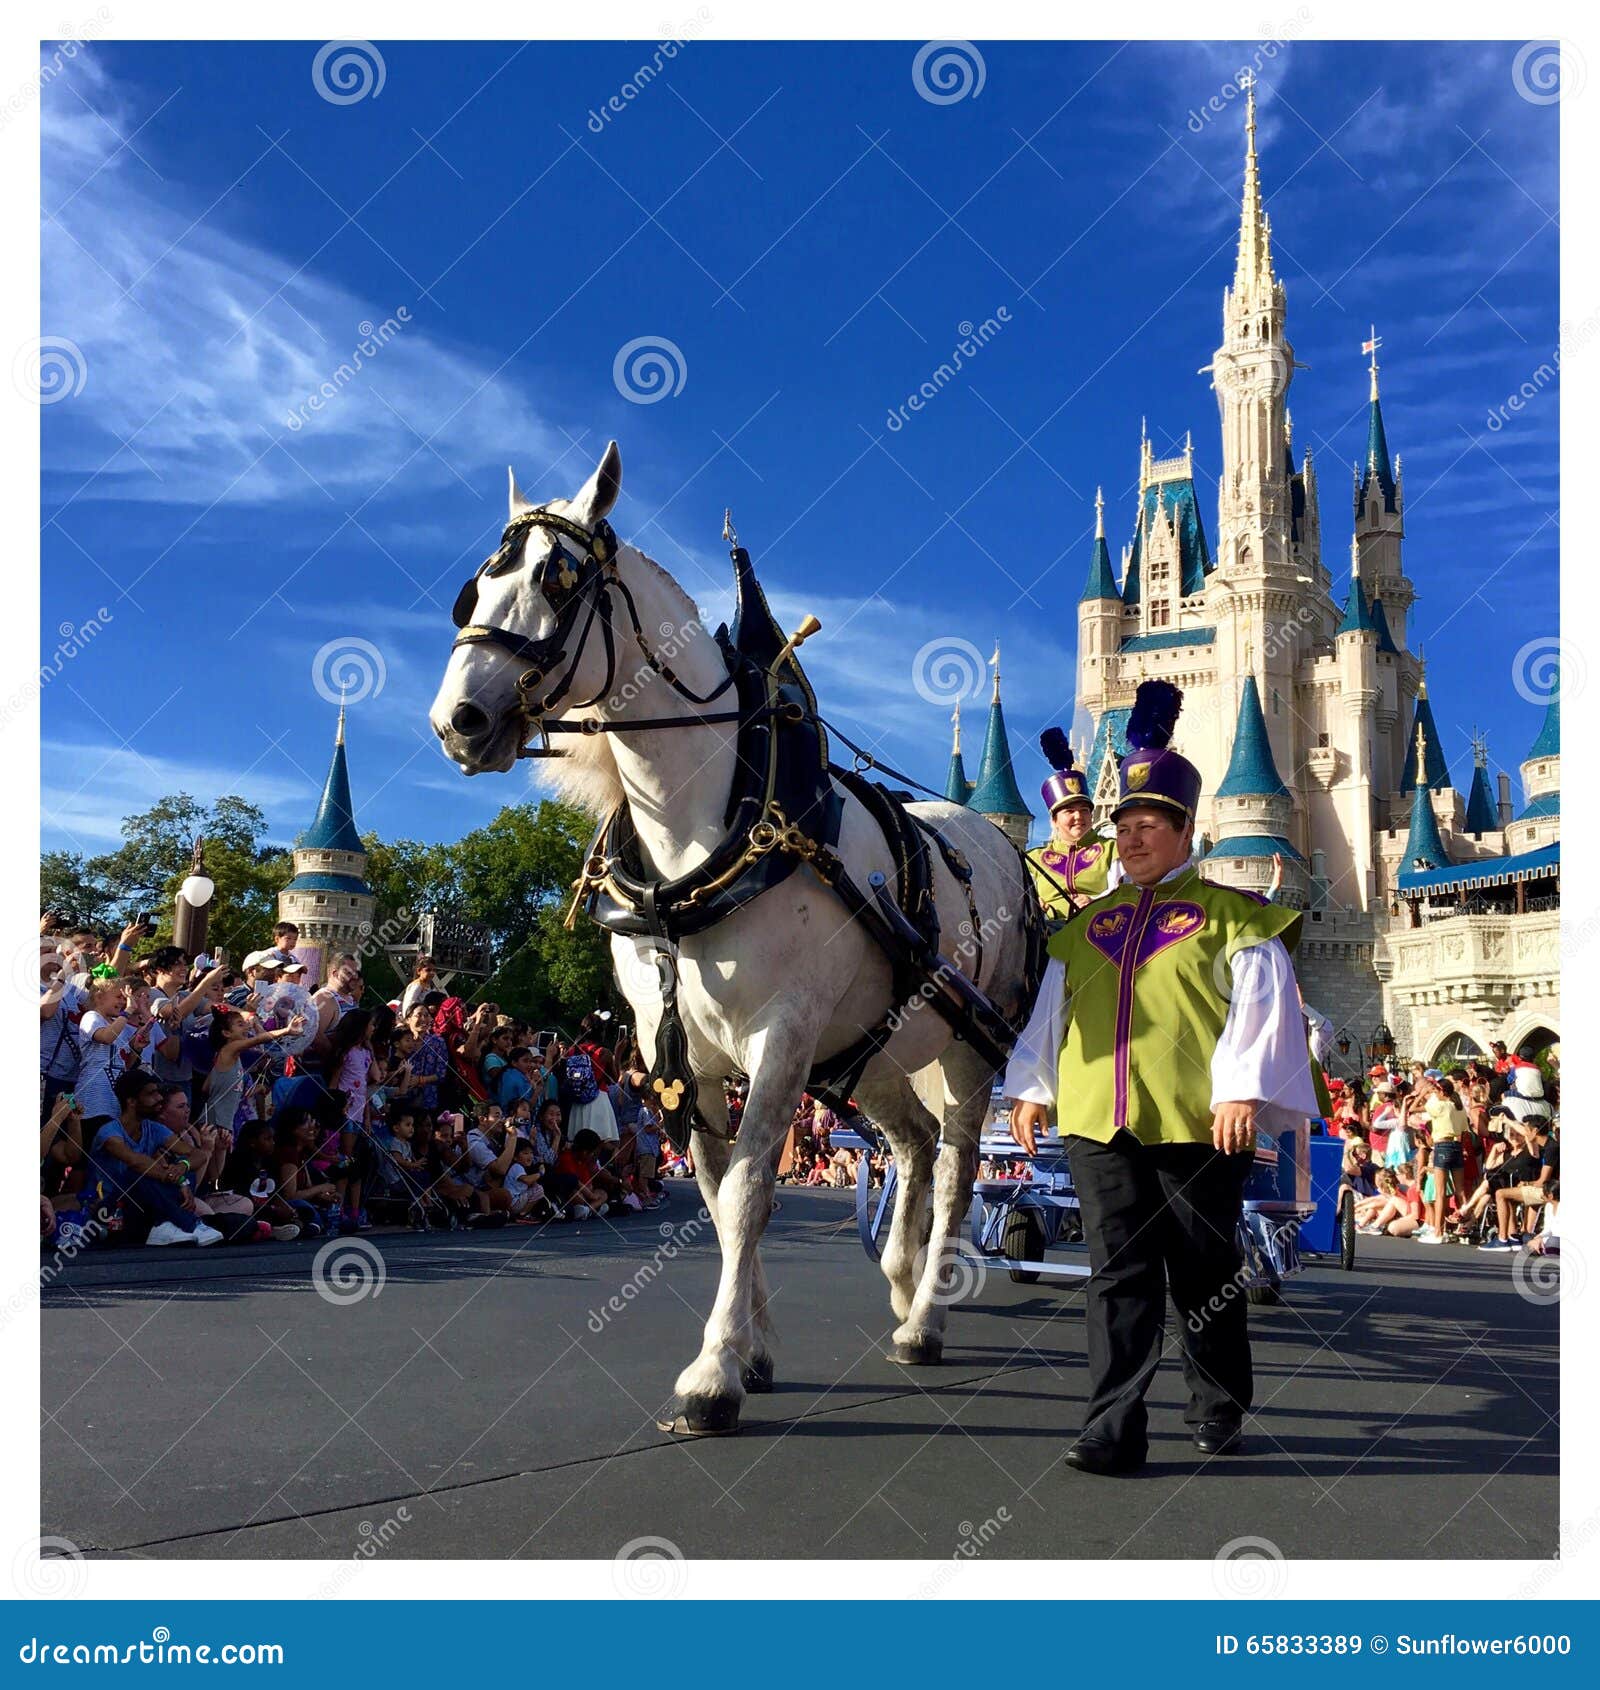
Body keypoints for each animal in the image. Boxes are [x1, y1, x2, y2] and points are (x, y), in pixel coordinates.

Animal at [425, 442, 1040, 1433]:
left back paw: (926, 1319)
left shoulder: (780, 1036)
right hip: (872, 1053)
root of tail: (1003, 847)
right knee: (910, 1146)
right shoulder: (674, 1050)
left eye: (557, 579)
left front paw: (713, 1372)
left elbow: (752, 1188)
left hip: (967, 1051)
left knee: (954, 1167)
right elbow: (717, 1197)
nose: (458, 721)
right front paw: (752, 1347)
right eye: (475, 587)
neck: (704, 841)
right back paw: (902, 1280)